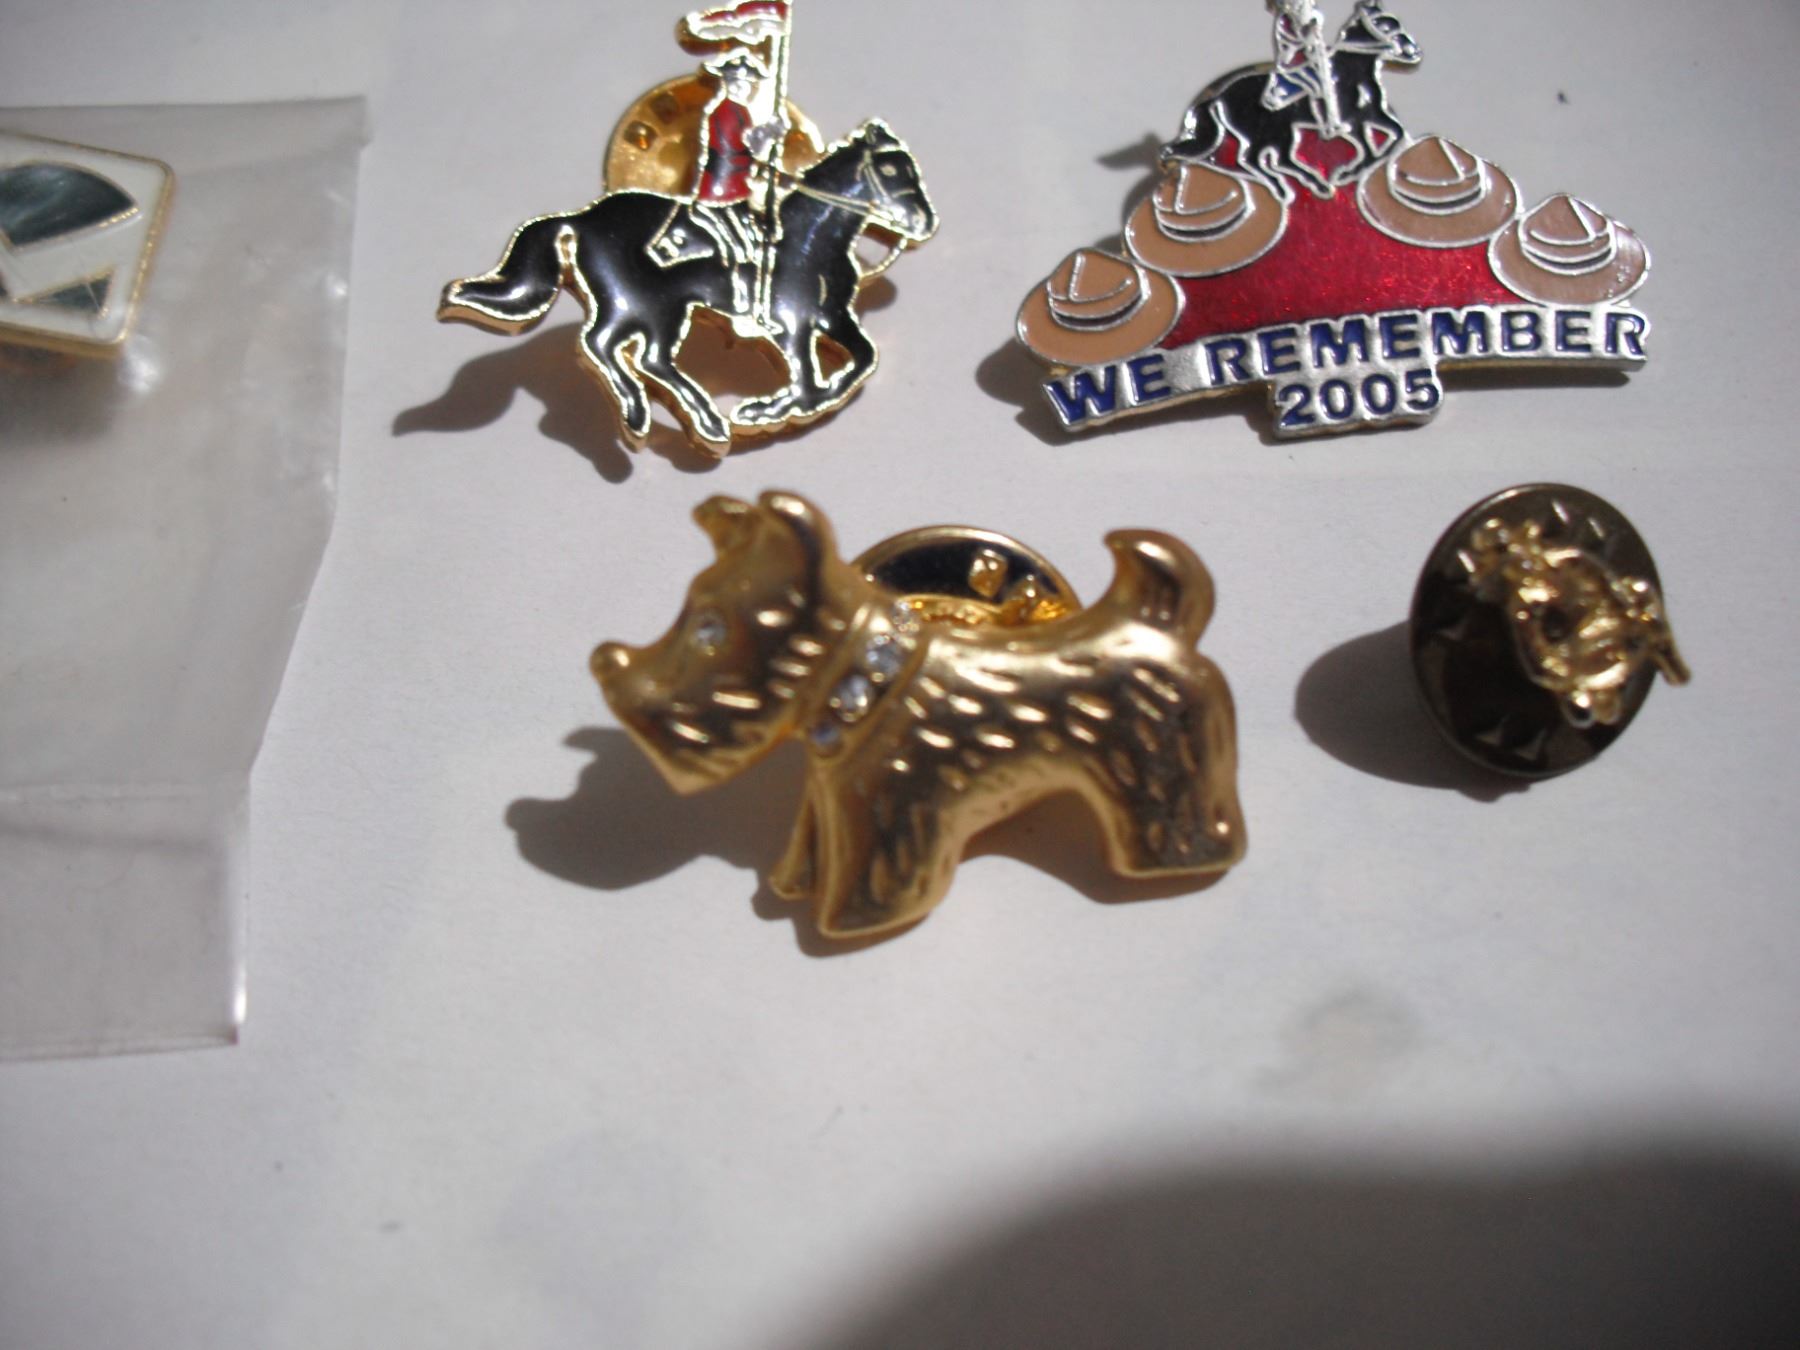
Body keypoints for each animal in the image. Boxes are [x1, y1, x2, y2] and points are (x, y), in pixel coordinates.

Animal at [438, 119, 936, 454]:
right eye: (892, 171)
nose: (923, 223)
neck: (810, 234)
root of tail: (582, 218)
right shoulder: (794, 321)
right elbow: (810, 379)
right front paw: (768, 409)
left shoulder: (830, 315)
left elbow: (857, 360)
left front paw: (769, 407)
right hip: (646, 303)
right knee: (603, 345)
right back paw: (648, 415)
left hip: (655, 307)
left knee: (639, 355)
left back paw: (700, 419)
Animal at [592, 491, 1246, 938]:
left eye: (710, 629)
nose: (610, 680)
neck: (866, 689)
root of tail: (1156, 620)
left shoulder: (895, 826)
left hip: (1165, 781)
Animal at [1160, 0, 1420, 203]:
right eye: (1384, 24)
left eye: (1396, 21)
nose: (1413, 52)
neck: (1352, 71)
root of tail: (1219, 96)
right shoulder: (1352, 122)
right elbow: (1367, 148)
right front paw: (1348, 172)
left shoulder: (1372, 115)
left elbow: (1394, 134)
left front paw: (1359, 169)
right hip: (1270, 133)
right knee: (1251, 159)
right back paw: (1290, 188)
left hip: (1278, 132)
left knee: (1270, 159)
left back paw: (1310, 183)